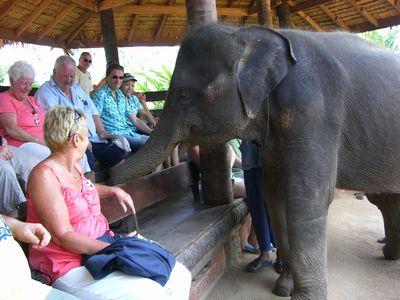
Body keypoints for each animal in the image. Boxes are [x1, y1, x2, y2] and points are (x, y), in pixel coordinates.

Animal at [111, 24, 400, 300]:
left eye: (183, 94)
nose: (109, 181)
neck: (247, 33)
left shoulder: (314, 112)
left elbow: (306, 198)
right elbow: (273, 194)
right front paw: (283, 286)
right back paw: (390, 253)